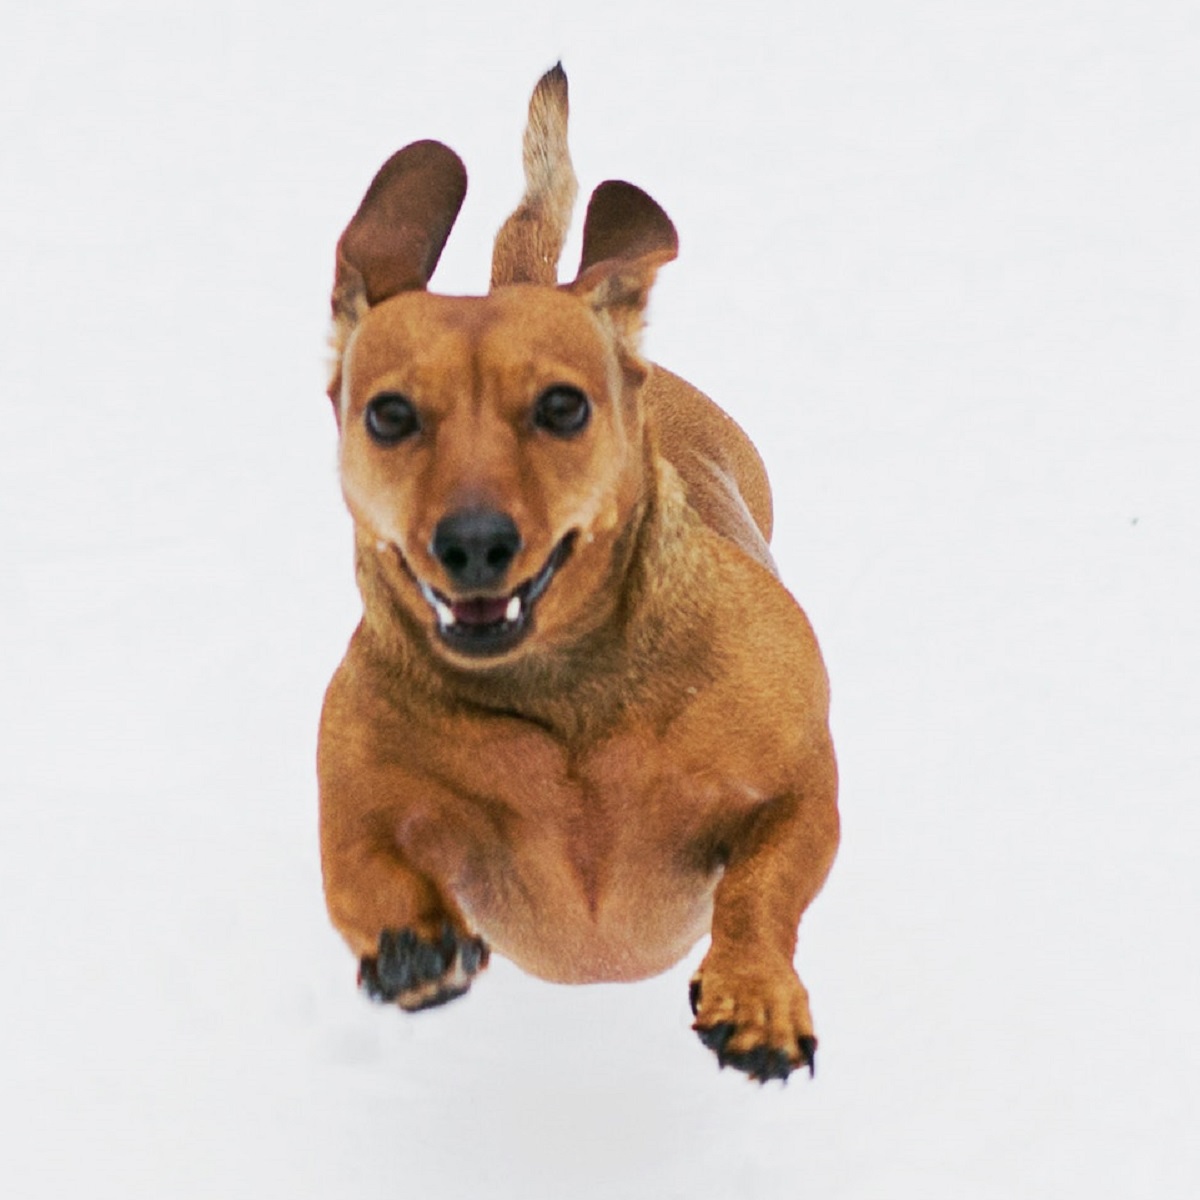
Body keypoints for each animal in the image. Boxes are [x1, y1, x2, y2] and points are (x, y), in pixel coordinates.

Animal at [321, 60, 844, 1084]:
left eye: (562, 407)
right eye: (389, 414)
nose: (473, 542)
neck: (564, 699)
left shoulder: (803, 787)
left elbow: (762, 889)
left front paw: (756, 995)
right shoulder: (351, 800)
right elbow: (359, 869)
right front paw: (412, 947)